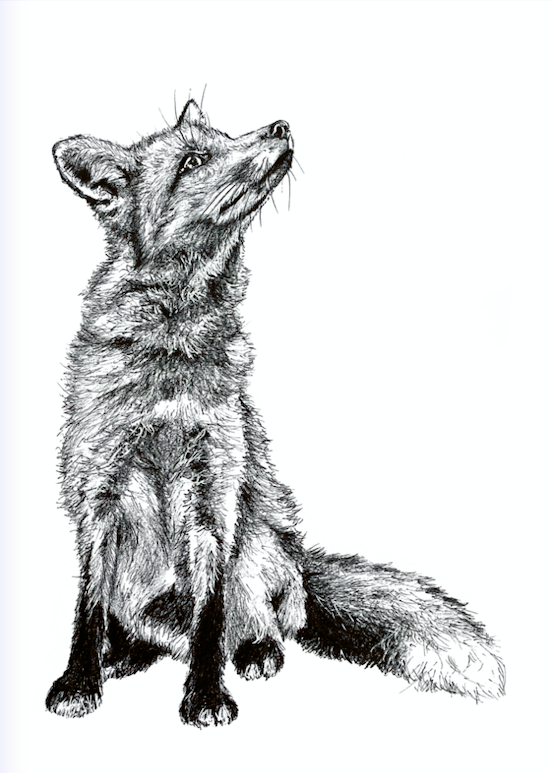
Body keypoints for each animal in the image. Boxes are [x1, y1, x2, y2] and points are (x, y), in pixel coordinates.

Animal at [46, 99, 504, 727]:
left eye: (222, 134)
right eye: (193, 160)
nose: (280, 126)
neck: (172, 350)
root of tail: (301, 562)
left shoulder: (214, 494)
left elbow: (210, 616)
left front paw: (206, 697)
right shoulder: (99, 492)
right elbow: (87, 610)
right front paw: (78, 683)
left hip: (259, 551)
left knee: (255, 624)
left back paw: (255, 652)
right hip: (139, 583)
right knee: (150, 632)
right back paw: (128, 655)